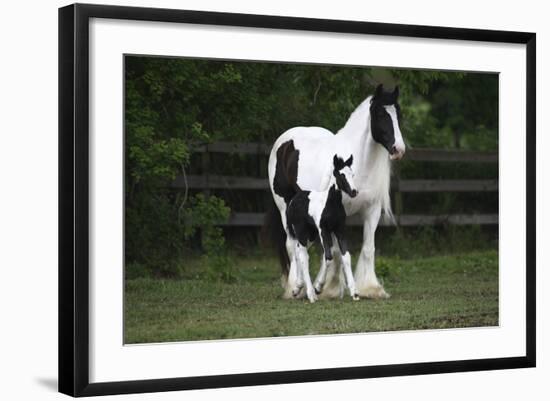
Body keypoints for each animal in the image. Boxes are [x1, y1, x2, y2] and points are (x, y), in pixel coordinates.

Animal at [286, 155, 360, 302]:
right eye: (342, 175)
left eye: (352, 174)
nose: (354, 192)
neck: (331, 204)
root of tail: (296, 196)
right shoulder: (323, 230)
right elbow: (329, 257)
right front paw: (318, 287)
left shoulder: (339, 230)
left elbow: (345, 256)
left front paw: (354, 292)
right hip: (301, 232)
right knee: (303, 256)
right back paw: (310, 294)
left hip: (311, 234)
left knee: (298, 252)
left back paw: (297, 288)